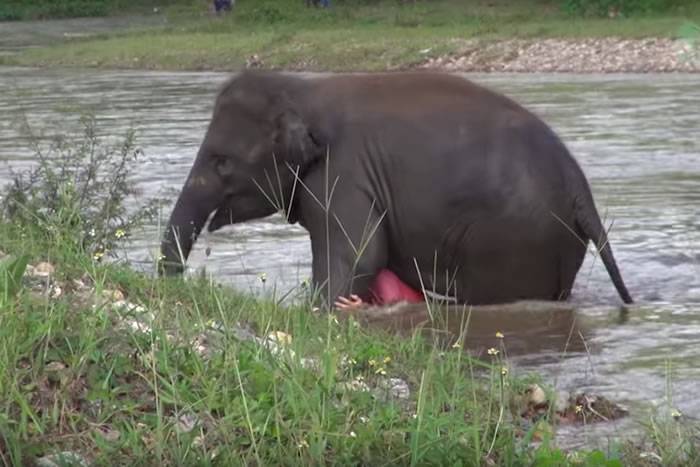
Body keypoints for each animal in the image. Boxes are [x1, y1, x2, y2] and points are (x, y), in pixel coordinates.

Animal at [160, 70, 636, 308]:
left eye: (221, 162)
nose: (176, 284)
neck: (303, 89)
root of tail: (580, 188)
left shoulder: (342, 173)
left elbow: (360, 255)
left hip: (516, 240)